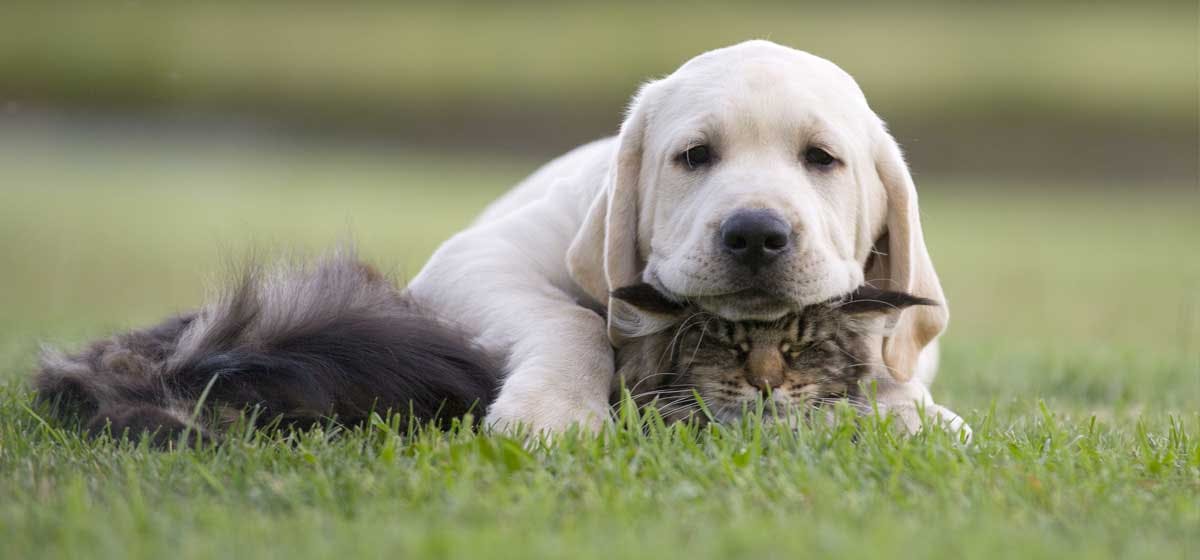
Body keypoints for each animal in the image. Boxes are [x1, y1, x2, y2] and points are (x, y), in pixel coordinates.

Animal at [408, 40, 969, 438]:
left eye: (821, 158)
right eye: (695, 155)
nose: (756, 233)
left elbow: (880, 352)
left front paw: (911, 410)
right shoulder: (477, 257)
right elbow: (573, 320)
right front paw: (555, 410)